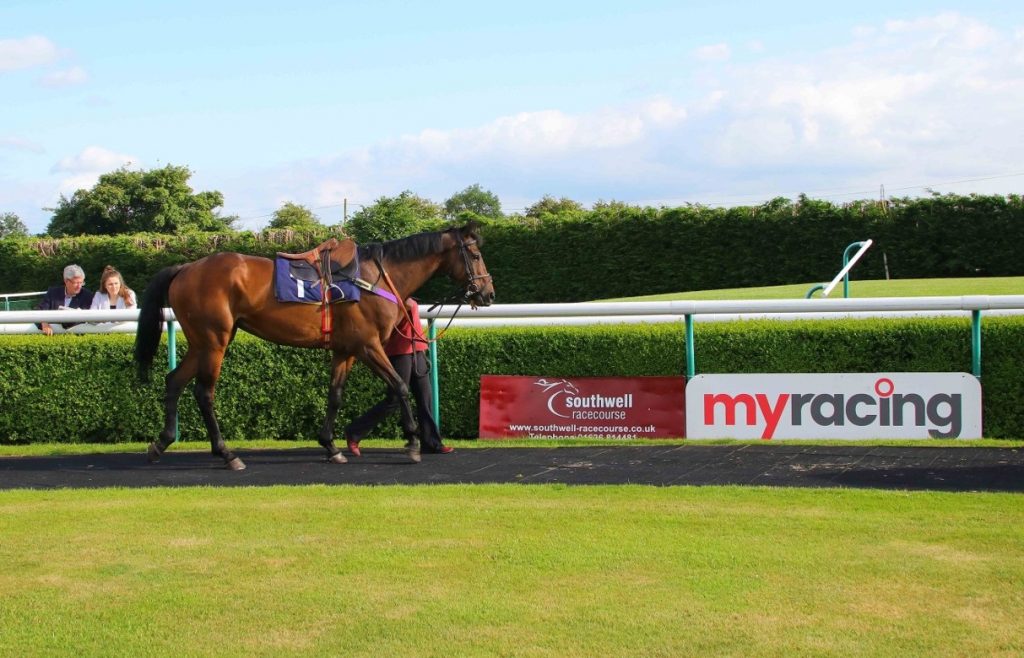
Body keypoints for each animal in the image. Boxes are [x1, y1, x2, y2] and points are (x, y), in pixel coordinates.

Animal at [133, 221, 494, 470]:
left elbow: (335, 395)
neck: (374, 279)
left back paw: (161, 443)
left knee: (174, 381)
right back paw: (227, 453)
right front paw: (413, 443)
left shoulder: (345, 350)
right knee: (203, 393)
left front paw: (332, 446)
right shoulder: (368, 346)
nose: (487, 293)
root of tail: (186, 268)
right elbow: (400, 386)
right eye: (475, 254)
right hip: (214, 341)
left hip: (202, 342)